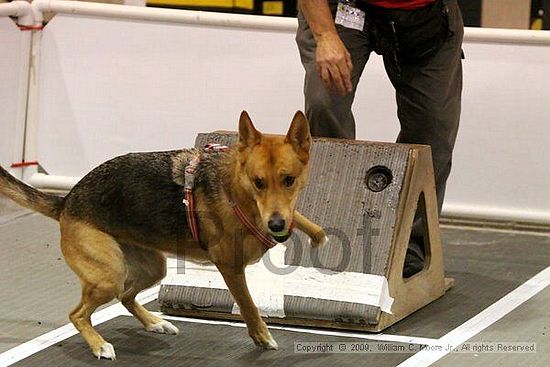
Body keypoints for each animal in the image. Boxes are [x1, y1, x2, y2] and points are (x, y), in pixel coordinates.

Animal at [0, 110, 328, 360]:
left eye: (289, 180)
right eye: (258, 182)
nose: (276, 225)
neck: (235, 190)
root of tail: (67, 201)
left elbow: (302, 218)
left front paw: (317, 234)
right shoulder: (231, 268)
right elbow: (248, 306)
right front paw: (262, 336)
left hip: (152, 268)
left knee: (126, 296)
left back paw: (154, 322)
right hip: (109, 276)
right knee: (78, 314)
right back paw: (99, 345)